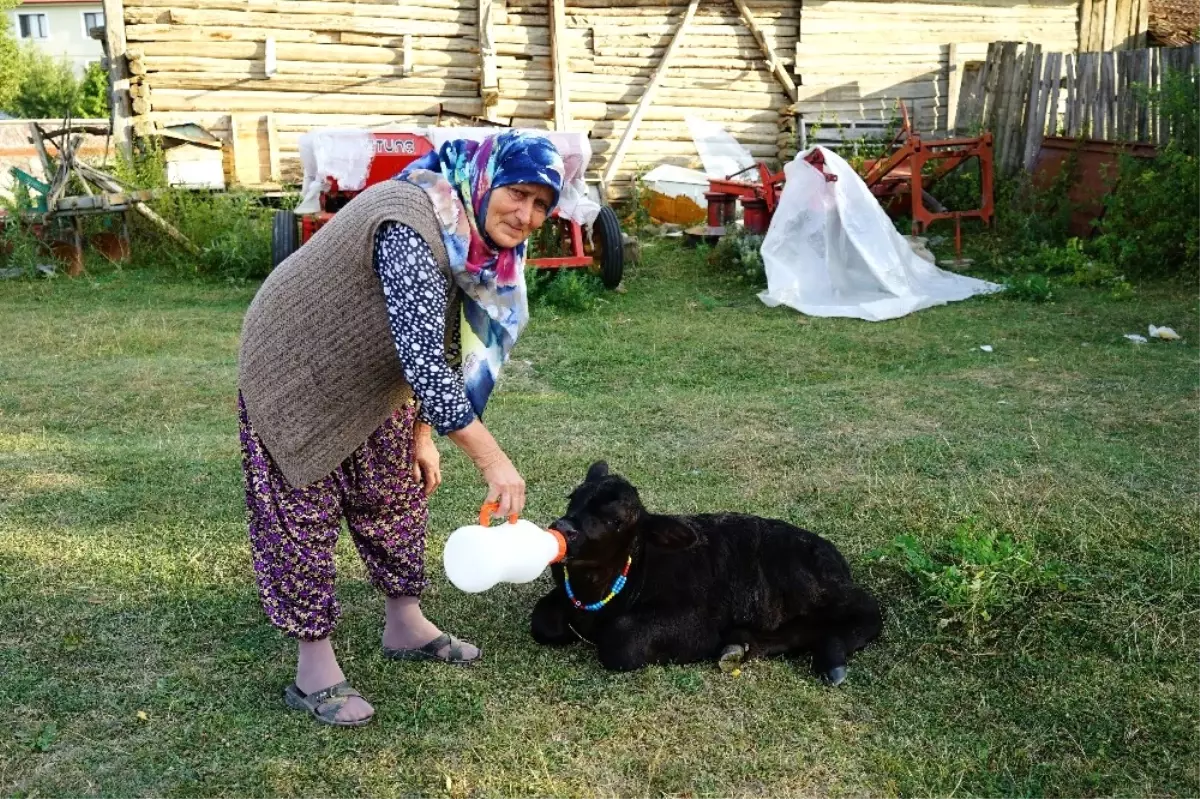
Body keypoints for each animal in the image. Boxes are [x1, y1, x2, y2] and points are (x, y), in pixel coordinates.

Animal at [532, 460, 883, 686]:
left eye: (615, 521)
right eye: (573, 499)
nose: (562, 529)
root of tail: (834, 556)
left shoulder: (695, 622)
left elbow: (620, 642)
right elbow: (542, 620)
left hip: (815, 588)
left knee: (867, 611)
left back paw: (832, 661)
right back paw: (740, 646)